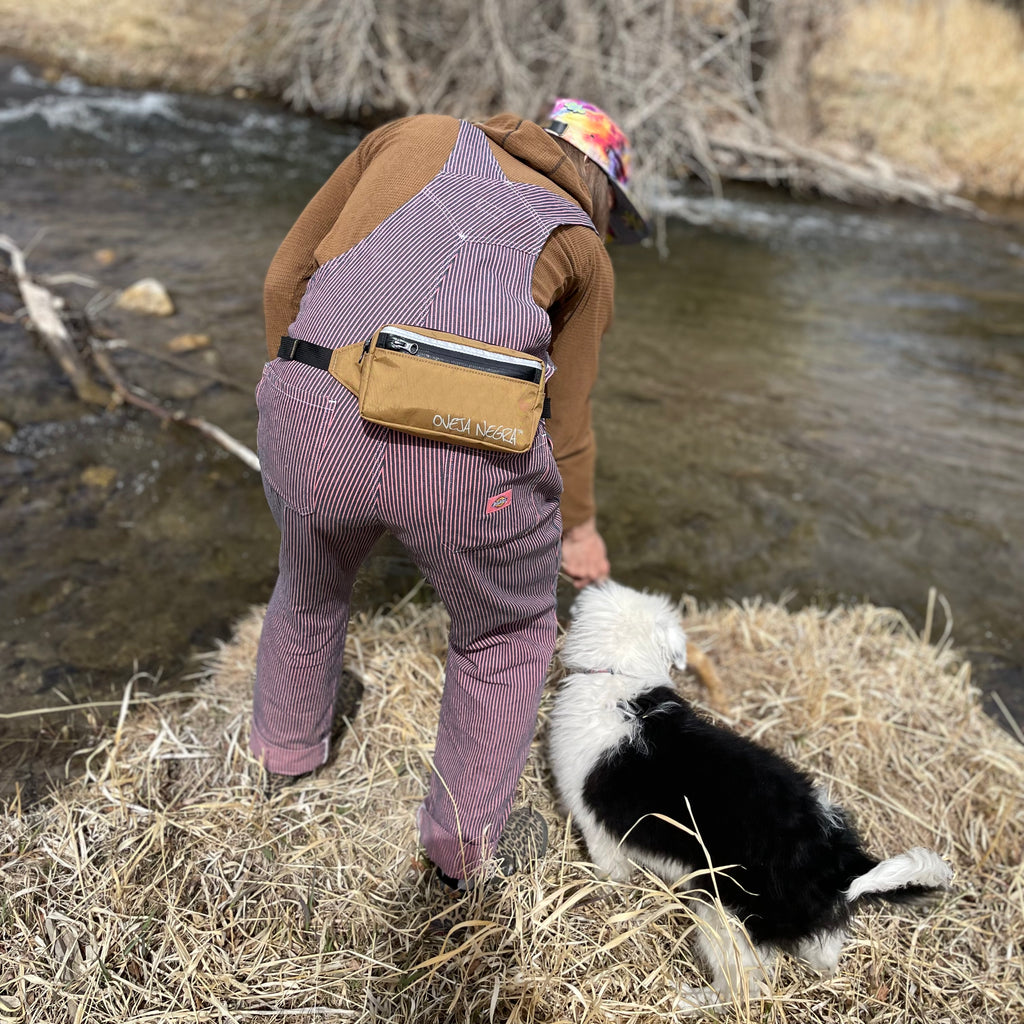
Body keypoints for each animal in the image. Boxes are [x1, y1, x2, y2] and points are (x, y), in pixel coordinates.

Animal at [548, 581, 954, 1003]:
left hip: (723, 912)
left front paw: (600, 894)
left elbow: (610, 871)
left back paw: (691, 999)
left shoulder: (596, 827)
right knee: (820, 952)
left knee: (741, 986)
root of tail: (837, 859)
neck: (621, 678)